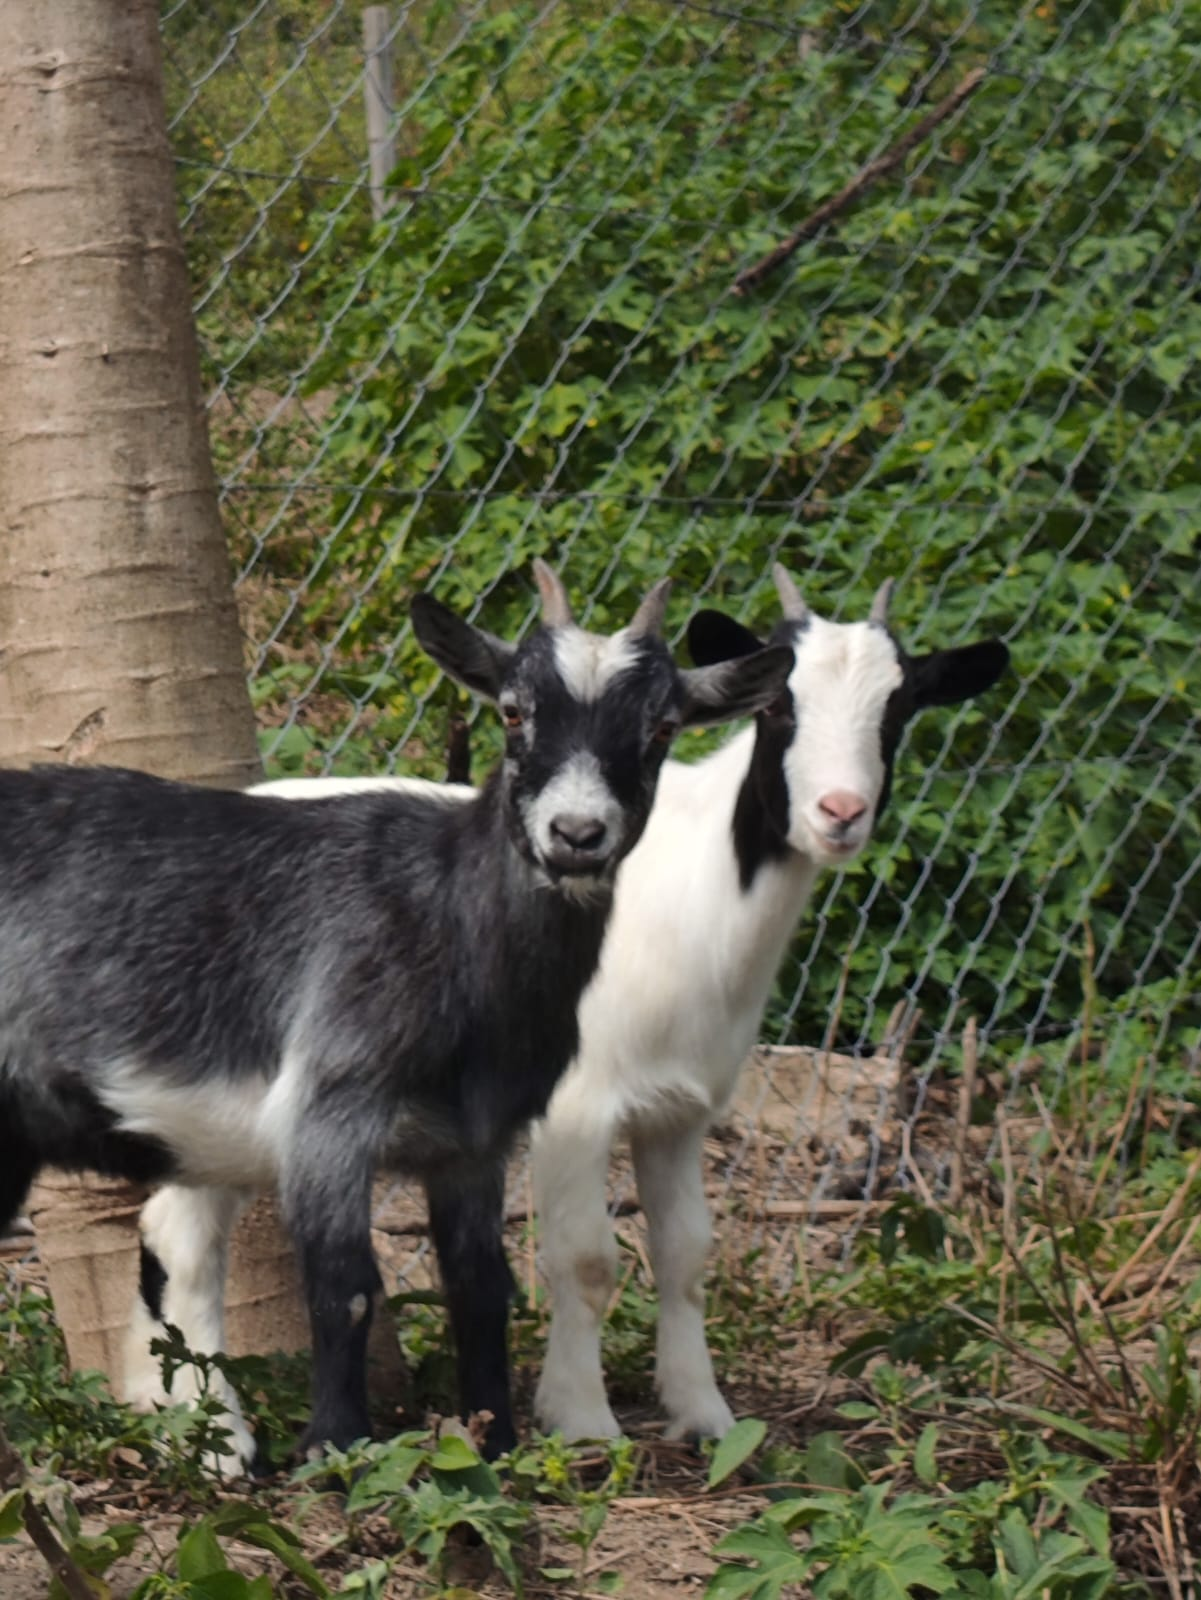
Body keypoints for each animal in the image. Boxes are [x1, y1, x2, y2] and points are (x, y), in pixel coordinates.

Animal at [0, 561, 793, 1465]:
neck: (447, 914)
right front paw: (336, 1447)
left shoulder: (475, 1138)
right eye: (512, 710)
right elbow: (346, 1286)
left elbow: (481, 1285)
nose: (576, 833)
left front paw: (494, 1438)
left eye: (662, 727)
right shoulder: (329, 1108)